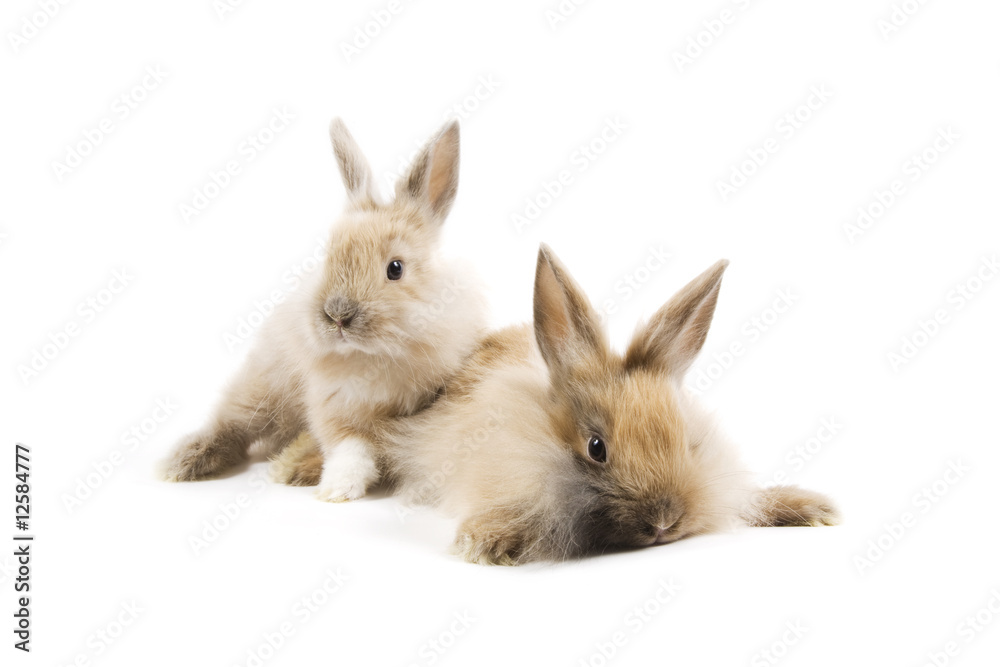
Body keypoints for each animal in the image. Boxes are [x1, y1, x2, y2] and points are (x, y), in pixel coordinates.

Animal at [162, 118, 487, 504]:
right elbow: (350, 448)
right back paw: (183, 462)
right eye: (327, 256)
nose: (337, 315)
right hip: (259, 388)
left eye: (396, 268)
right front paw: (337, 489)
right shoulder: (332, 408)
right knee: (232, 425)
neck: (374, 358)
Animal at [277, 246, 840, 564]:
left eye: (688, 444)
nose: (664, 524)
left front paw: (811, 509)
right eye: (596, 448)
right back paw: (299, 471)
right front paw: (486, 542)